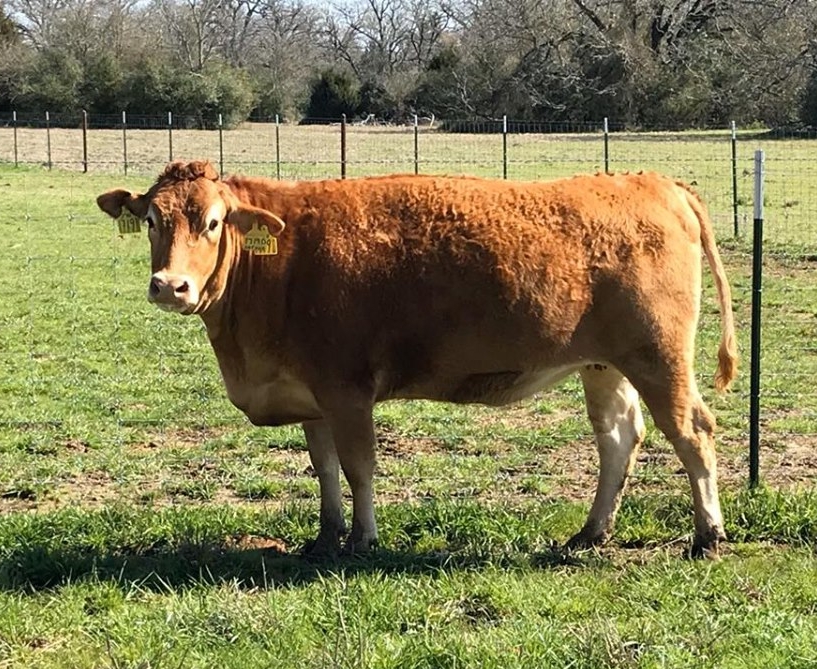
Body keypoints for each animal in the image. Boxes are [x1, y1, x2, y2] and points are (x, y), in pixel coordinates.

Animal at [96, 161, 737, 558]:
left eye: (211, 222)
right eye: (151, 221)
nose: (169, 285)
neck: (278, 264)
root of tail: (654, 183)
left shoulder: (347, 390)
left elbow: (359, 467)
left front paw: (362, 541)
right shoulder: (309, 396)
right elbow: (324, 469)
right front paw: (325, 538)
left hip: (659, 357)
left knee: (693, 432)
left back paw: (707, 536)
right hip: (605, 365)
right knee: (618, 439)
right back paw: (591, 533)